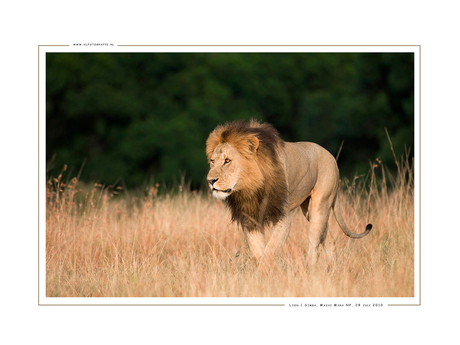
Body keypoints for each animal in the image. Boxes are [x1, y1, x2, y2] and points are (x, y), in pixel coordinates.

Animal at [207, 119, 372, 264]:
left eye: (227, 161)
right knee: (327, 238)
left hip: (321, 204)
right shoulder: (250, 218)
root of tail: (330, 155)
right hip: (308, 209)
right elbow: (258, 250)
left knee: (314, 241)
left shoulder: (282, 215)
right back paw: (332, 266)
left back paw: (309, 268)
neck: (252, 187)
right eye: (212, 161)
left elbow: (271, 248)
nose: (210, 181)